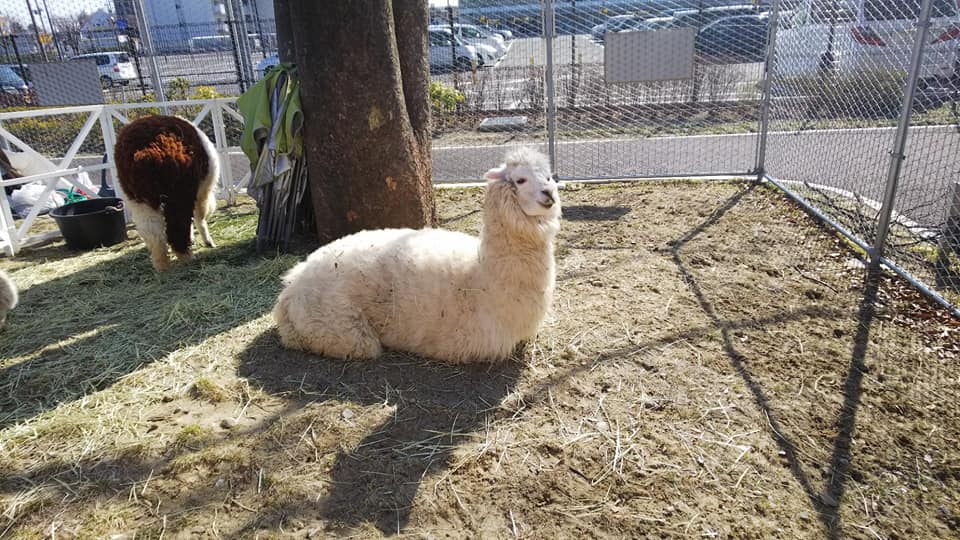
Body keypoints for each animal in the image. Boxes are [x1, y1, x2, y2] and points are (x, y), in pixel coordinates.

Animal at [114, 115, 219, 271]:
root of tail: (145, 152)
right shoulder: (201, 194)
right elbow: (200, 218)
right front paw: (208, 242)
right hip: (179, 192)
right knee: (177, 225)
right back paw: (186, 258)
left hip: (139, 199)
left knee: (153, 232)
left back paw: (162, 266)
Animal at [273, 147, 561, 363]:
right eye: (520, 180)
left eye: (548, 177)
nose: (549, 195)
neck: (482, 278)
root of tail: (290, 288)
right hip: (342, 330)